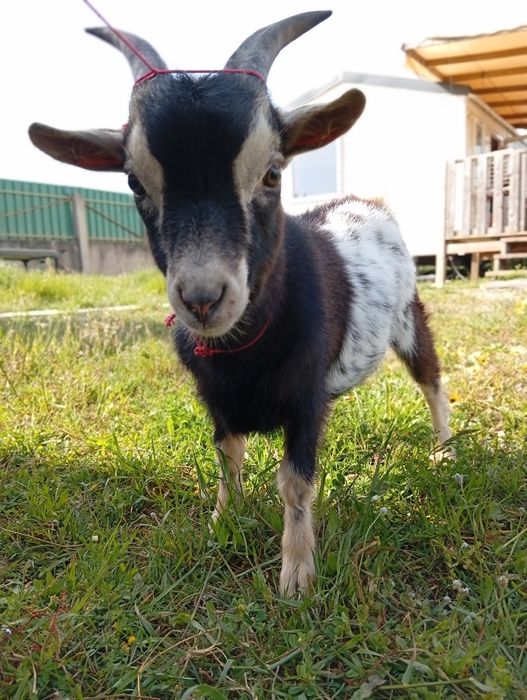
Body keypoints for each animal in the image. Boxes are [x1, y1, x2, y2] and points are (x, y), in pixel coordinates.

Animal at [28, 10, 453, 596]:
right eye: (135, 182)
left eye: (273, 173)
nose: (203, 299)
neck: (247, 347)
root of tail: (369, 202)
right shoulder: (216, 400)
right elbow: (228, 461)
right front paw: (221, 526)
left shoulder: (304, 400)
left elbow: (295, 481)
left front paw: (296, 576)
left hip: (410, 315)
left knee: (432, 378)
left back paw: (445, 451)